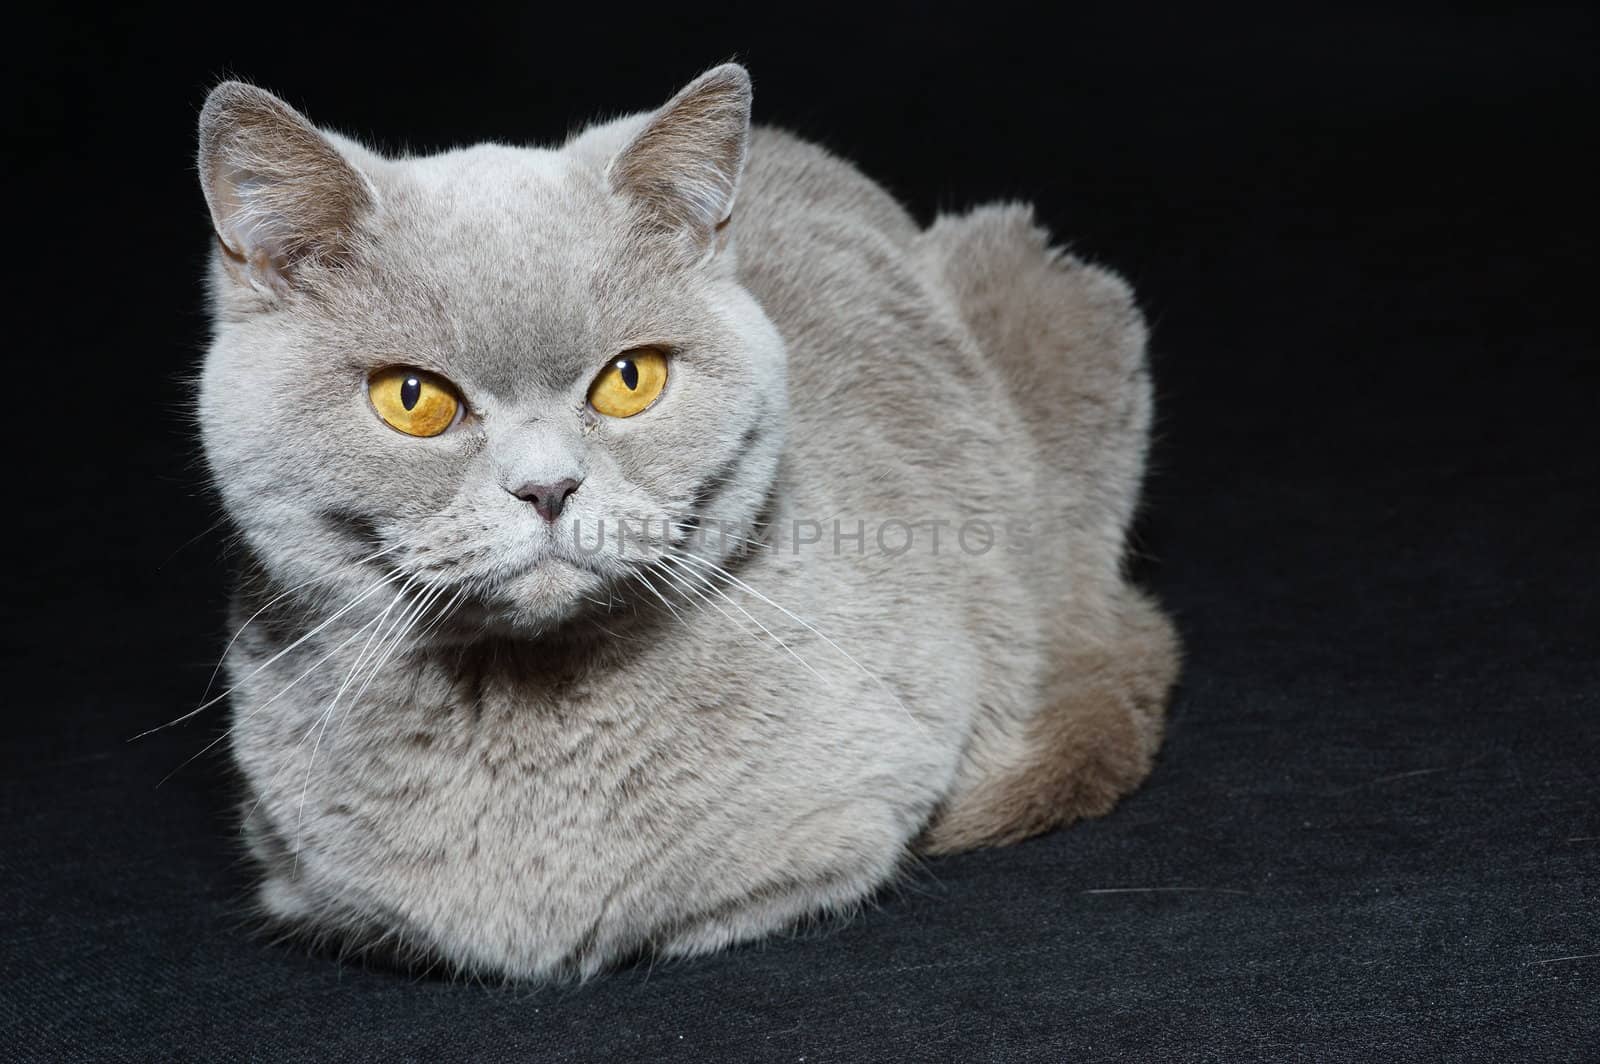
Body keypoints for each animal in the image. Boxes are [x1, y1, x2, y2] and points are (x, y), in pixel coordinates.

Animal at [193, 64, 1184, 979]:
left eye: (631, 380)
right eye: (412, 399)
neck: (524, 701)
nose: (547, 487)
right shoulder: (306, 880)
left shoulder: (866, 799)